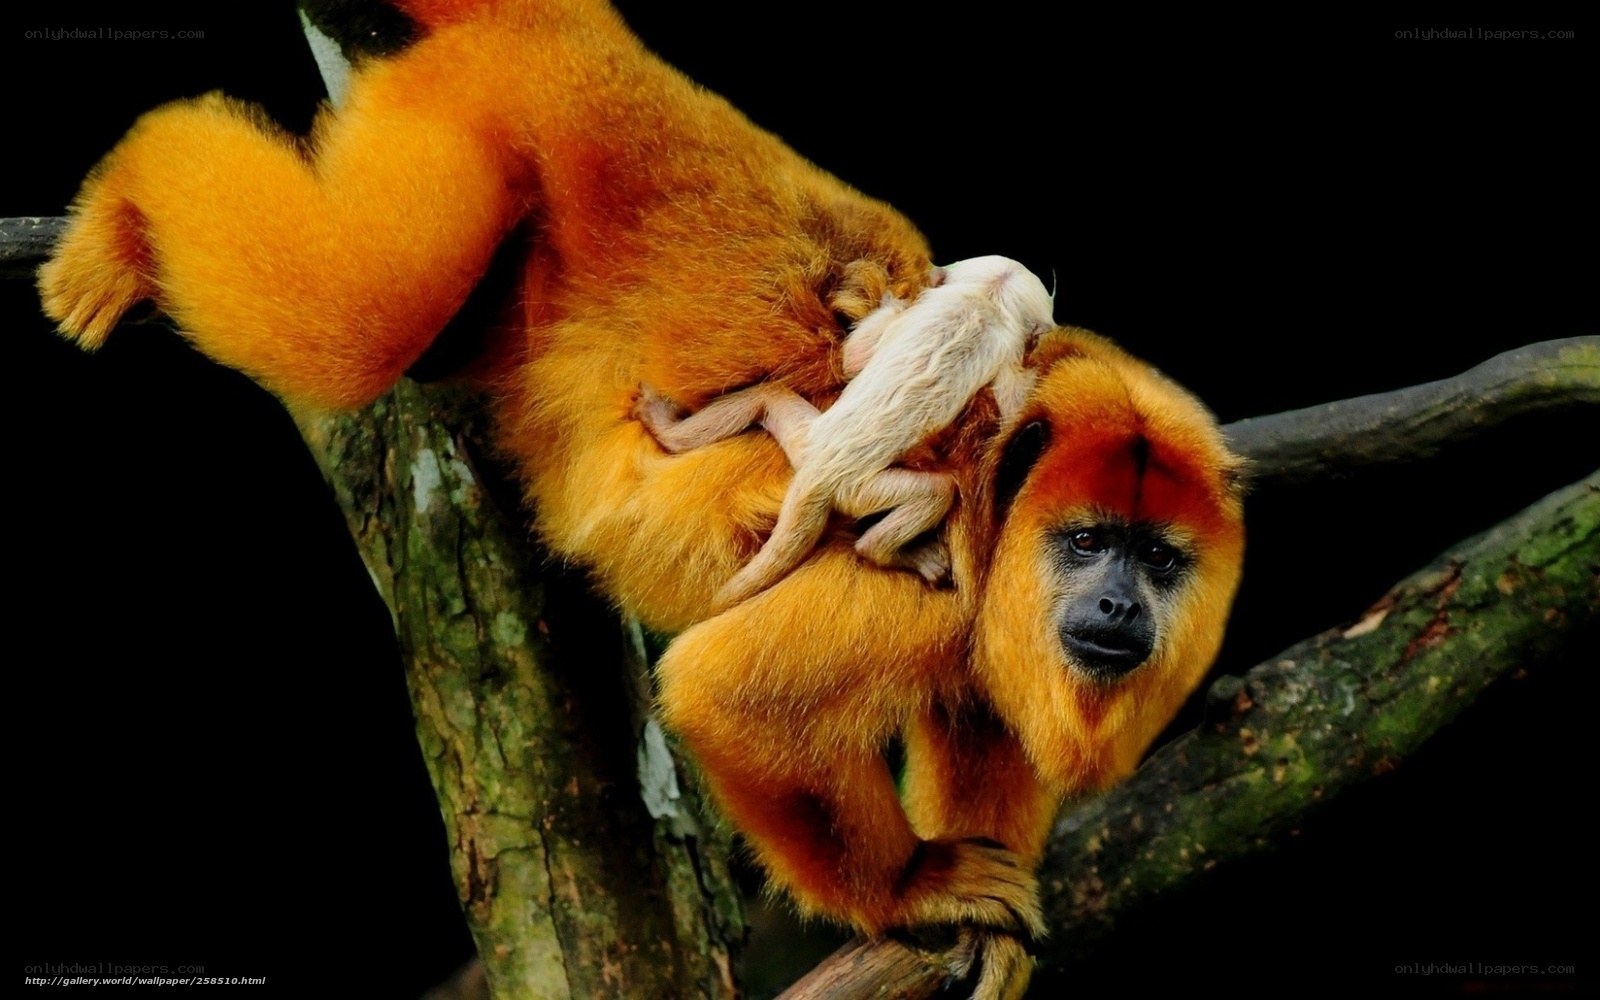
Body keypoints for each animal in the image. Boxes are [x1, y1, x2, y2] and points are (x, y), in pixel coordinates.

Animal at [635, 254, 1055, 607]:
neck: (989, 295)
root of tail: (814, 477)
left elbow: (852, 361)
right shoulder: (1003, 349)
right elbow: (1009, 409)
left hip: (804, 437)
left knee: (769, 395)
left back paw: (663, 427)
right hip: (856, 491)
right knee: (936, 491)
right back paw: (884, 551)